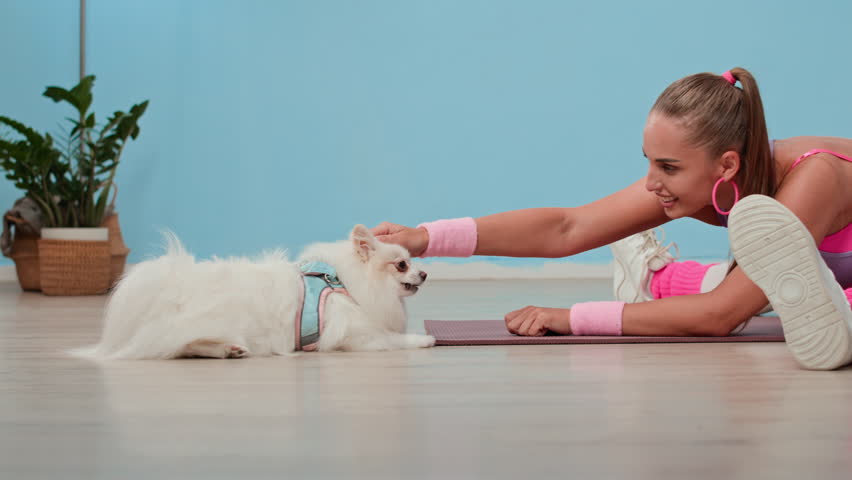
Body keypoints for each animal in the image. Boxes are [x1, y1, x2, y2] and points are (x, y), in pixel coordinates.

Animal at [70, 223, 436, 358]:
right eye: (401, 265)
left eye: (413, 262)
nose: (425, 273)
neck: (343, 282)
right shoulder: (353, 333)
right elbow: (391, 338)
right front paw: (424, 338)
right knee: (183, 343)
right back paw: (226, 348)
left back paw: (228, 350)